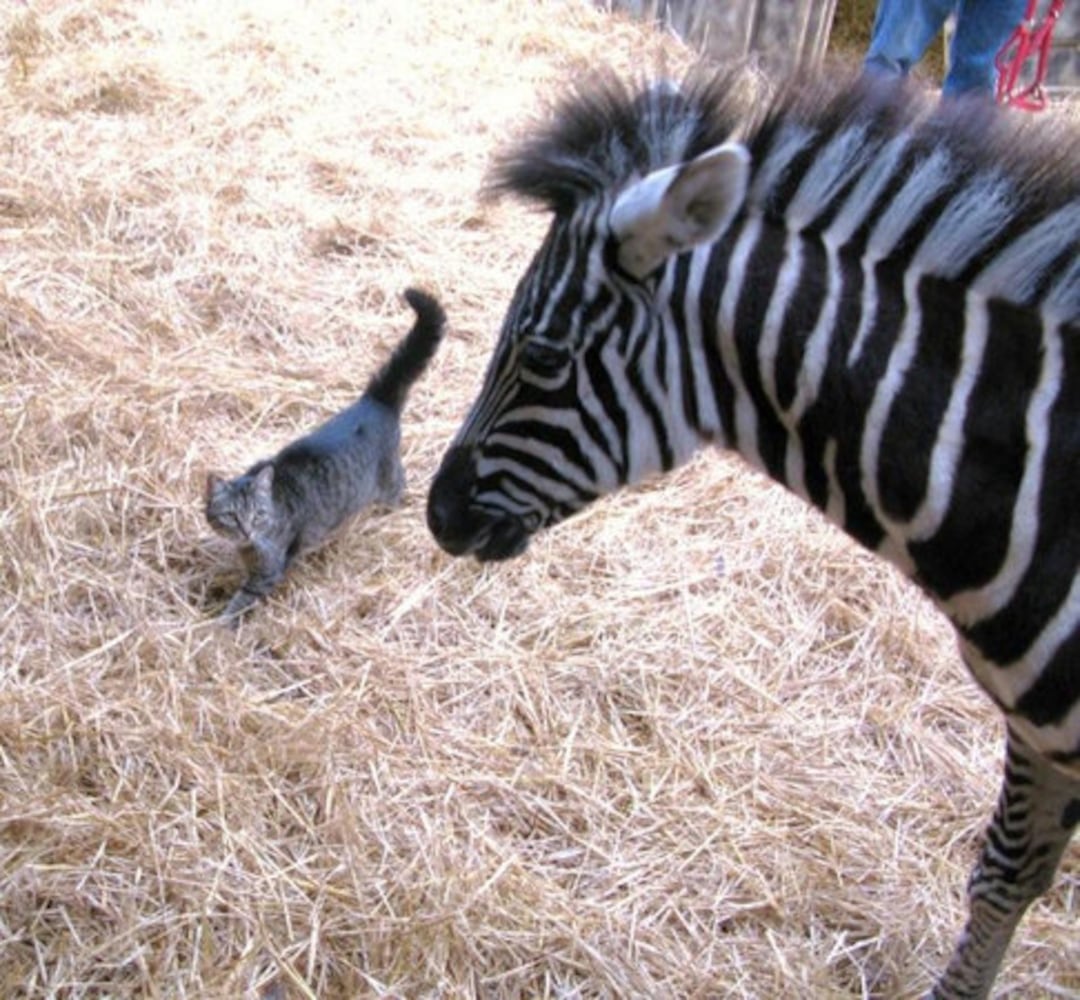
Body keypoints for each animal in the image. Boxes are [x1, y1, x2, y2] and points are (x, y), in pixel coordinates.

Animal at [204, 287, 444, 617]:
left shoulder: (269, 570)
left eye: (258, 515)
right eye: (231, 516)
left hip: (389, 482)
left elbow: (241, 601)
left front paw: (217, 623)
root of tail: (375, 401)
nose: (247, 532)